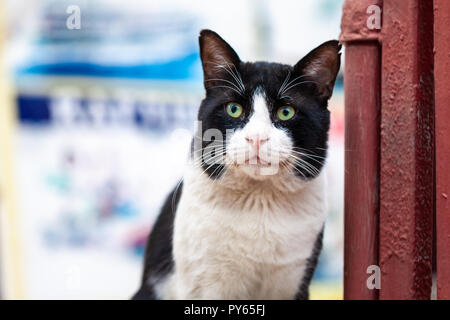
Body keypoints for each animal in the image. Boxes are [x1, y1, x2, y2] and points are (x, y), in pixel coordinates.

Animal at [134, 30, 342, 300]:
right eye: (234, 109)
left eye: (286, 112)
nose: (257, 138)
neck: (259, 200)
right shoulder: (205, 284)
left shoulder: (295, 280)